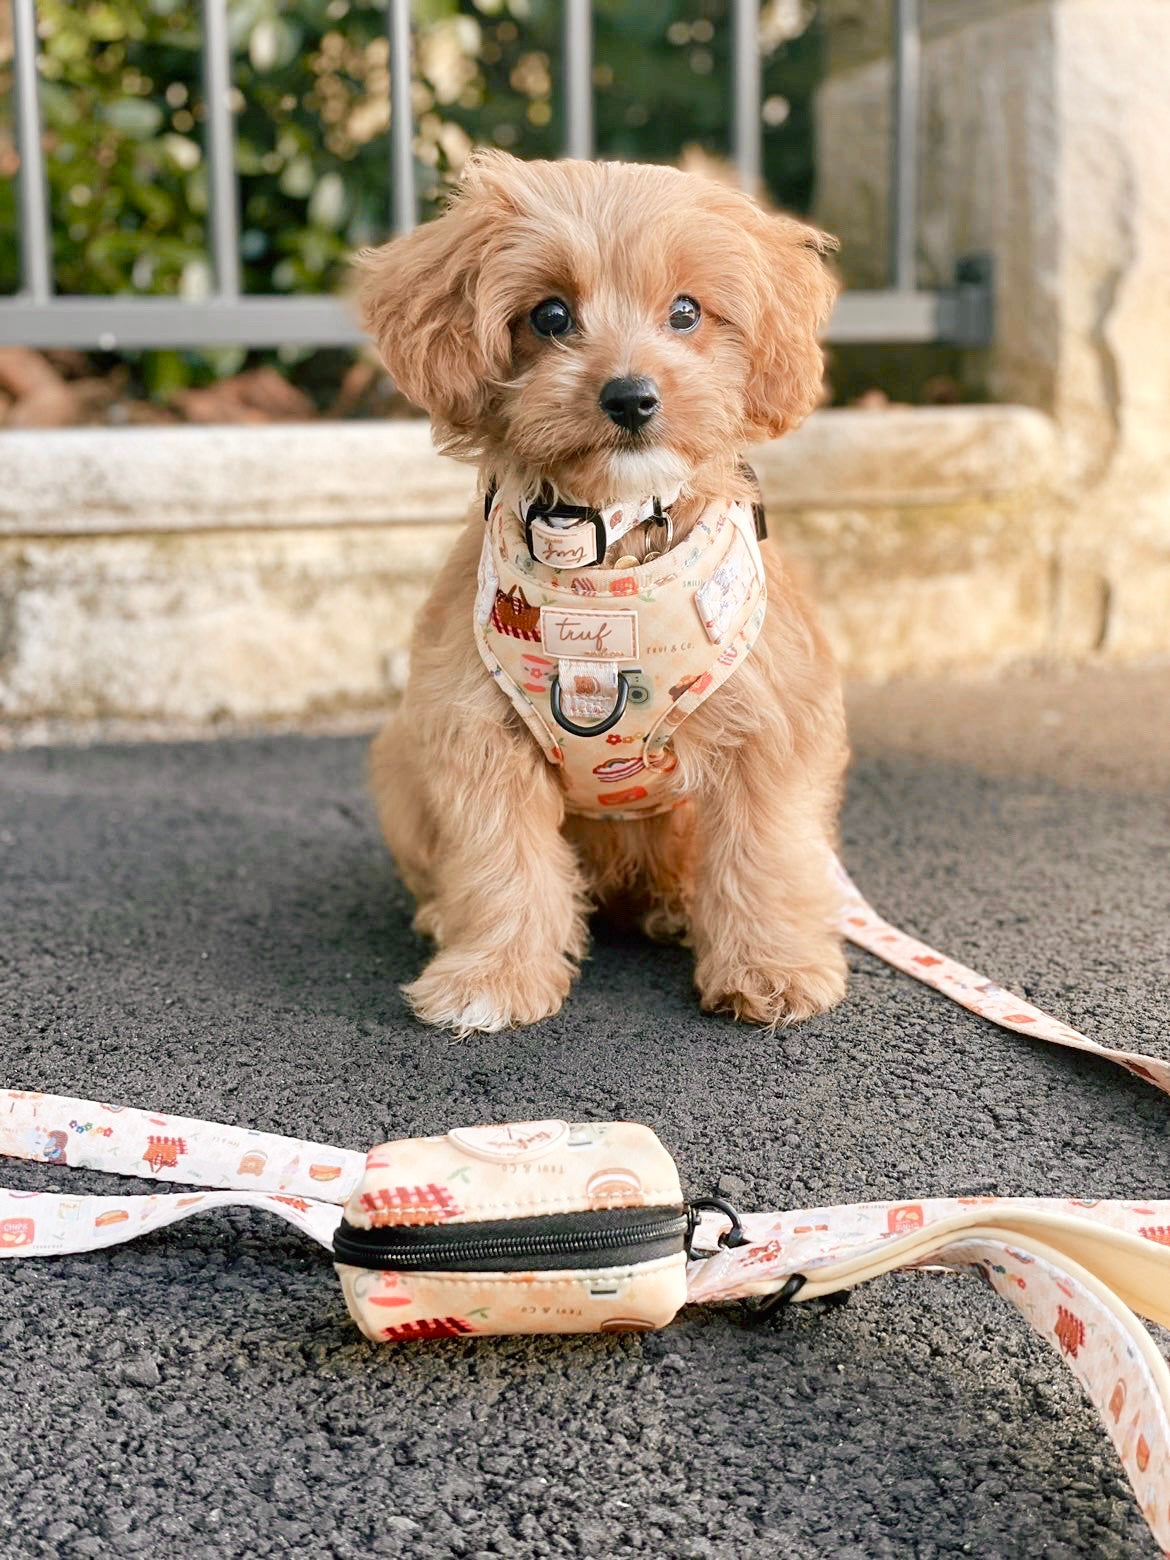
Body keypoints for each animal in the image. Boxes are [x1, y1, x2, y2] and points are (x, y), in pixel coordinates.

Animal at [352, 148, 848, 1035]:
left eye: (686, 311)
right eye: (549, 316)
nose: (630, 397)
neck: (604, 553)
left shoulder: (772, 723)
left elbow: (764, 851)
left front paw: (773, 968)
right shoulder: (475, 728)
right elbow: (502, 862)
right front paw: (494, 976)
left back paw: (679, 907)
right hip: (400, 767)